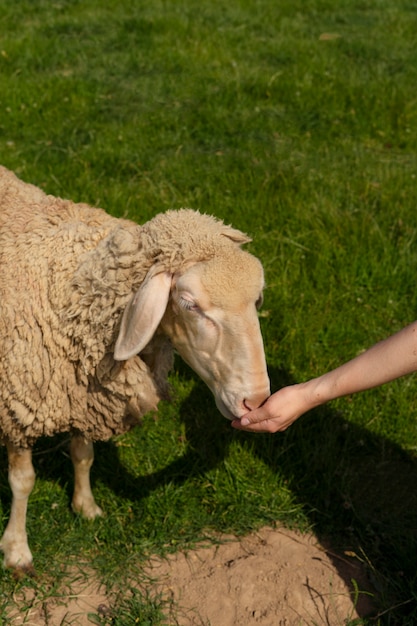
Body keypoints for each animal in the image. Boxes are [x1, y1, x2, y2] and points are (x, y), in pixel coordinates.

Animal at [0, 165, 270, 572]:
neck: (74, 291)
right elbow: (23, 481)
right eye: (190, 304)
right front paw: (16, 549)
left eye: (258, 300)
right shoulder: (18, 407)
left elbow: (83, 454)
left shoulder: (86, 396)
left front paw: (87, 506)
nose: (256, 401)